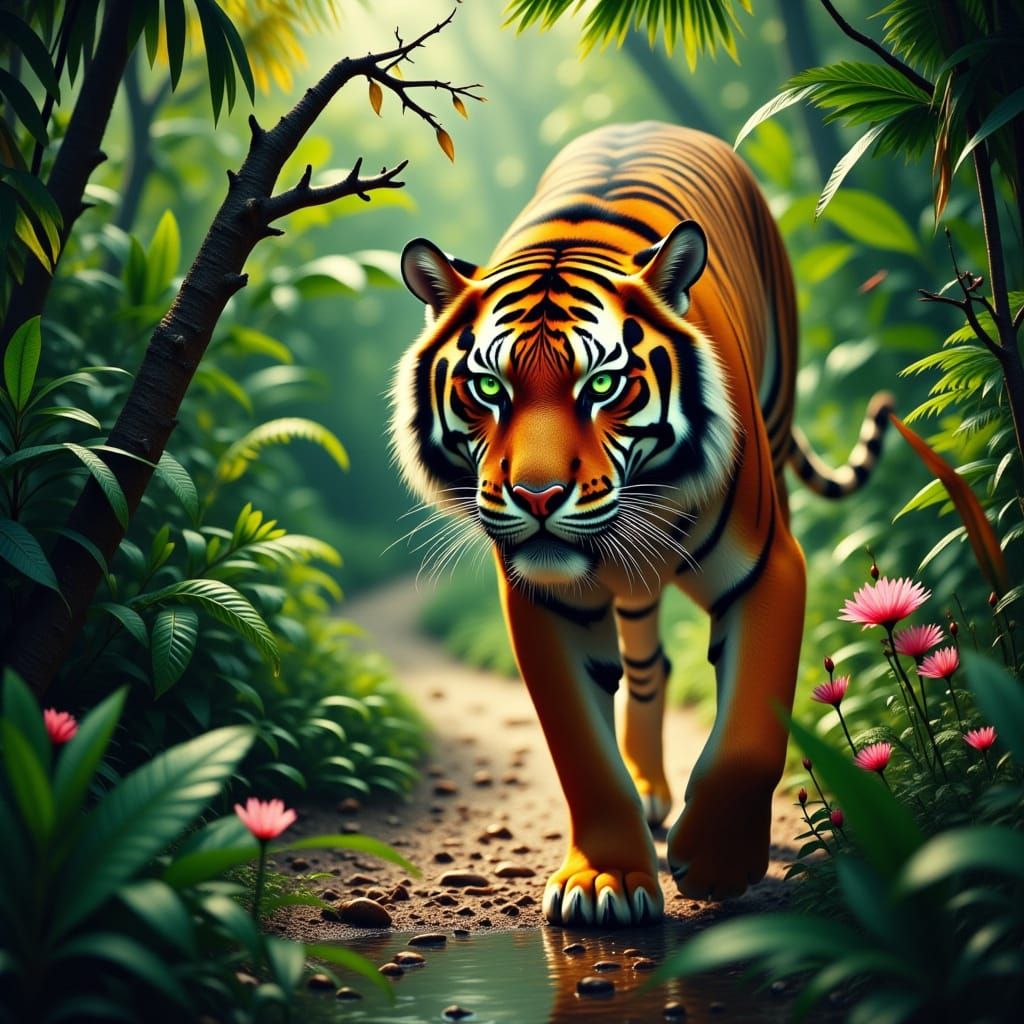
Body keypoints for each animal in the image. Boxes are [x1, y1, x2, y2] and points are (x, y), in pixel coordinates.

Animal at [390, 121, 892, 928]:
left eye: (602, 384)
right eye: (489, 388)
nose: (537, 495)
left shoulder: (769, 568)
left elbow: (751, 735)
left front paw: (715, 863)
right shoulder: (545, 602)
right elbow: (581, 753)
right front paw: (607, 880)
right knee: (647, 663)